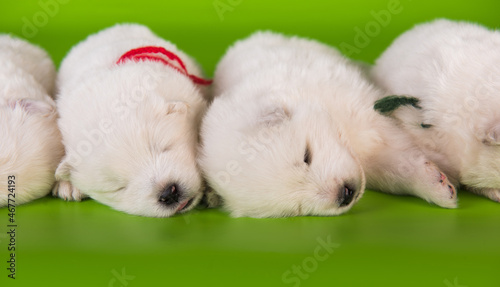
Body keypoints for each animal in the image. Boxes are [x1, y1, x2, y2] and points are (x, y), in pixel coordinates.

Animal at [198, 31, 458, 218]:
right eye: (295, 209)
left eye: (306, 155)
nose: (344, 195)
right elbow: (393, 169)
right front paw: (437, 185)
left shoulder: (363, 113)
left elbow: (401, 156)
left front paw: (438, 186)